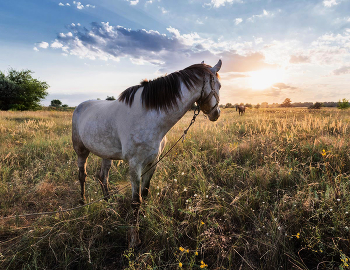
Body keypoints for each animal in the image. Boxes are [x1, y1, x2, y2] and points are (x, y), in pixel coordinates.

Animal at [72, 59, 223, 247]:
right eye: (219, 86)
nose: (216, 114)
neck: (150, 117)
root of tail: (80, 105)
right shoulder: (135, 165)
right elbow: (136, 201)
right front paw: (134, 239)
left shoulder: (153, 162)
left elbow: (144, 193)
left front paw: (143, 219)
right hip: (81, 150)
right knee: (82, 175)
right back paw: (82, 203)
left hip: (106, 154)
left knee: (102, 177)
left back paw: (109, 206)